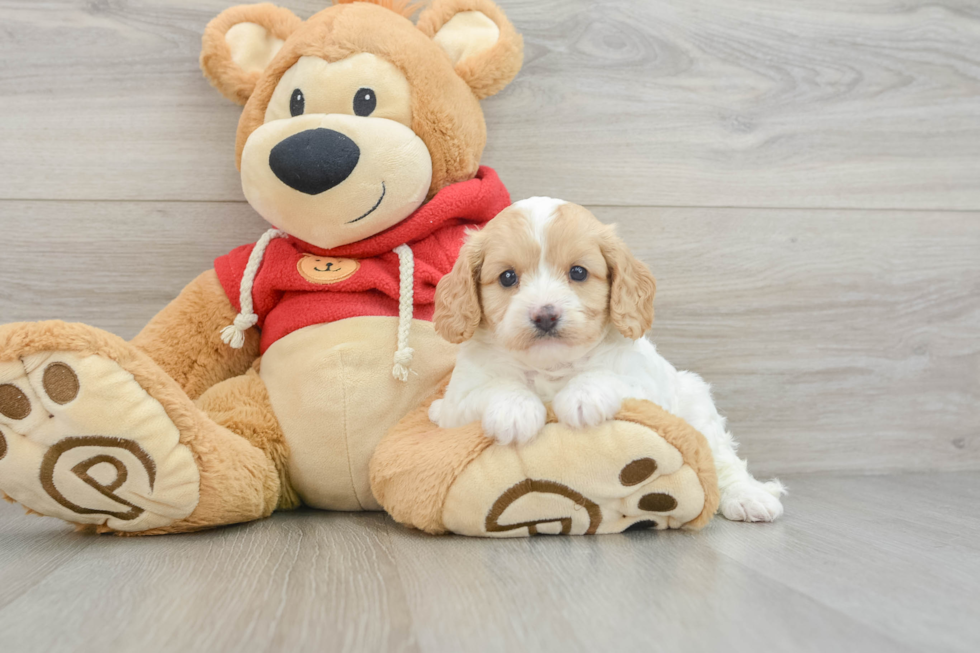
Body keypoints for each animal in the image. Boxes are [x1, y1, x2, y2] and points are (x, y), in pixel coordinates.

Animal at [428, 196, 788, 524]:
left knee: (724, 460)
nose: (545, 315)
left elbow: (606, 376)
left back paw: (748, 497)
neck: (552, 366)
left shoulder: (644, 387)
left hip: (697, 405)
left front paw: (582, 397)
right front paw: (515, 411)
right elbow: (493, 388)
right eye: (507, 277)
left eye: (578, 272)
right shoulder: (456, 404)